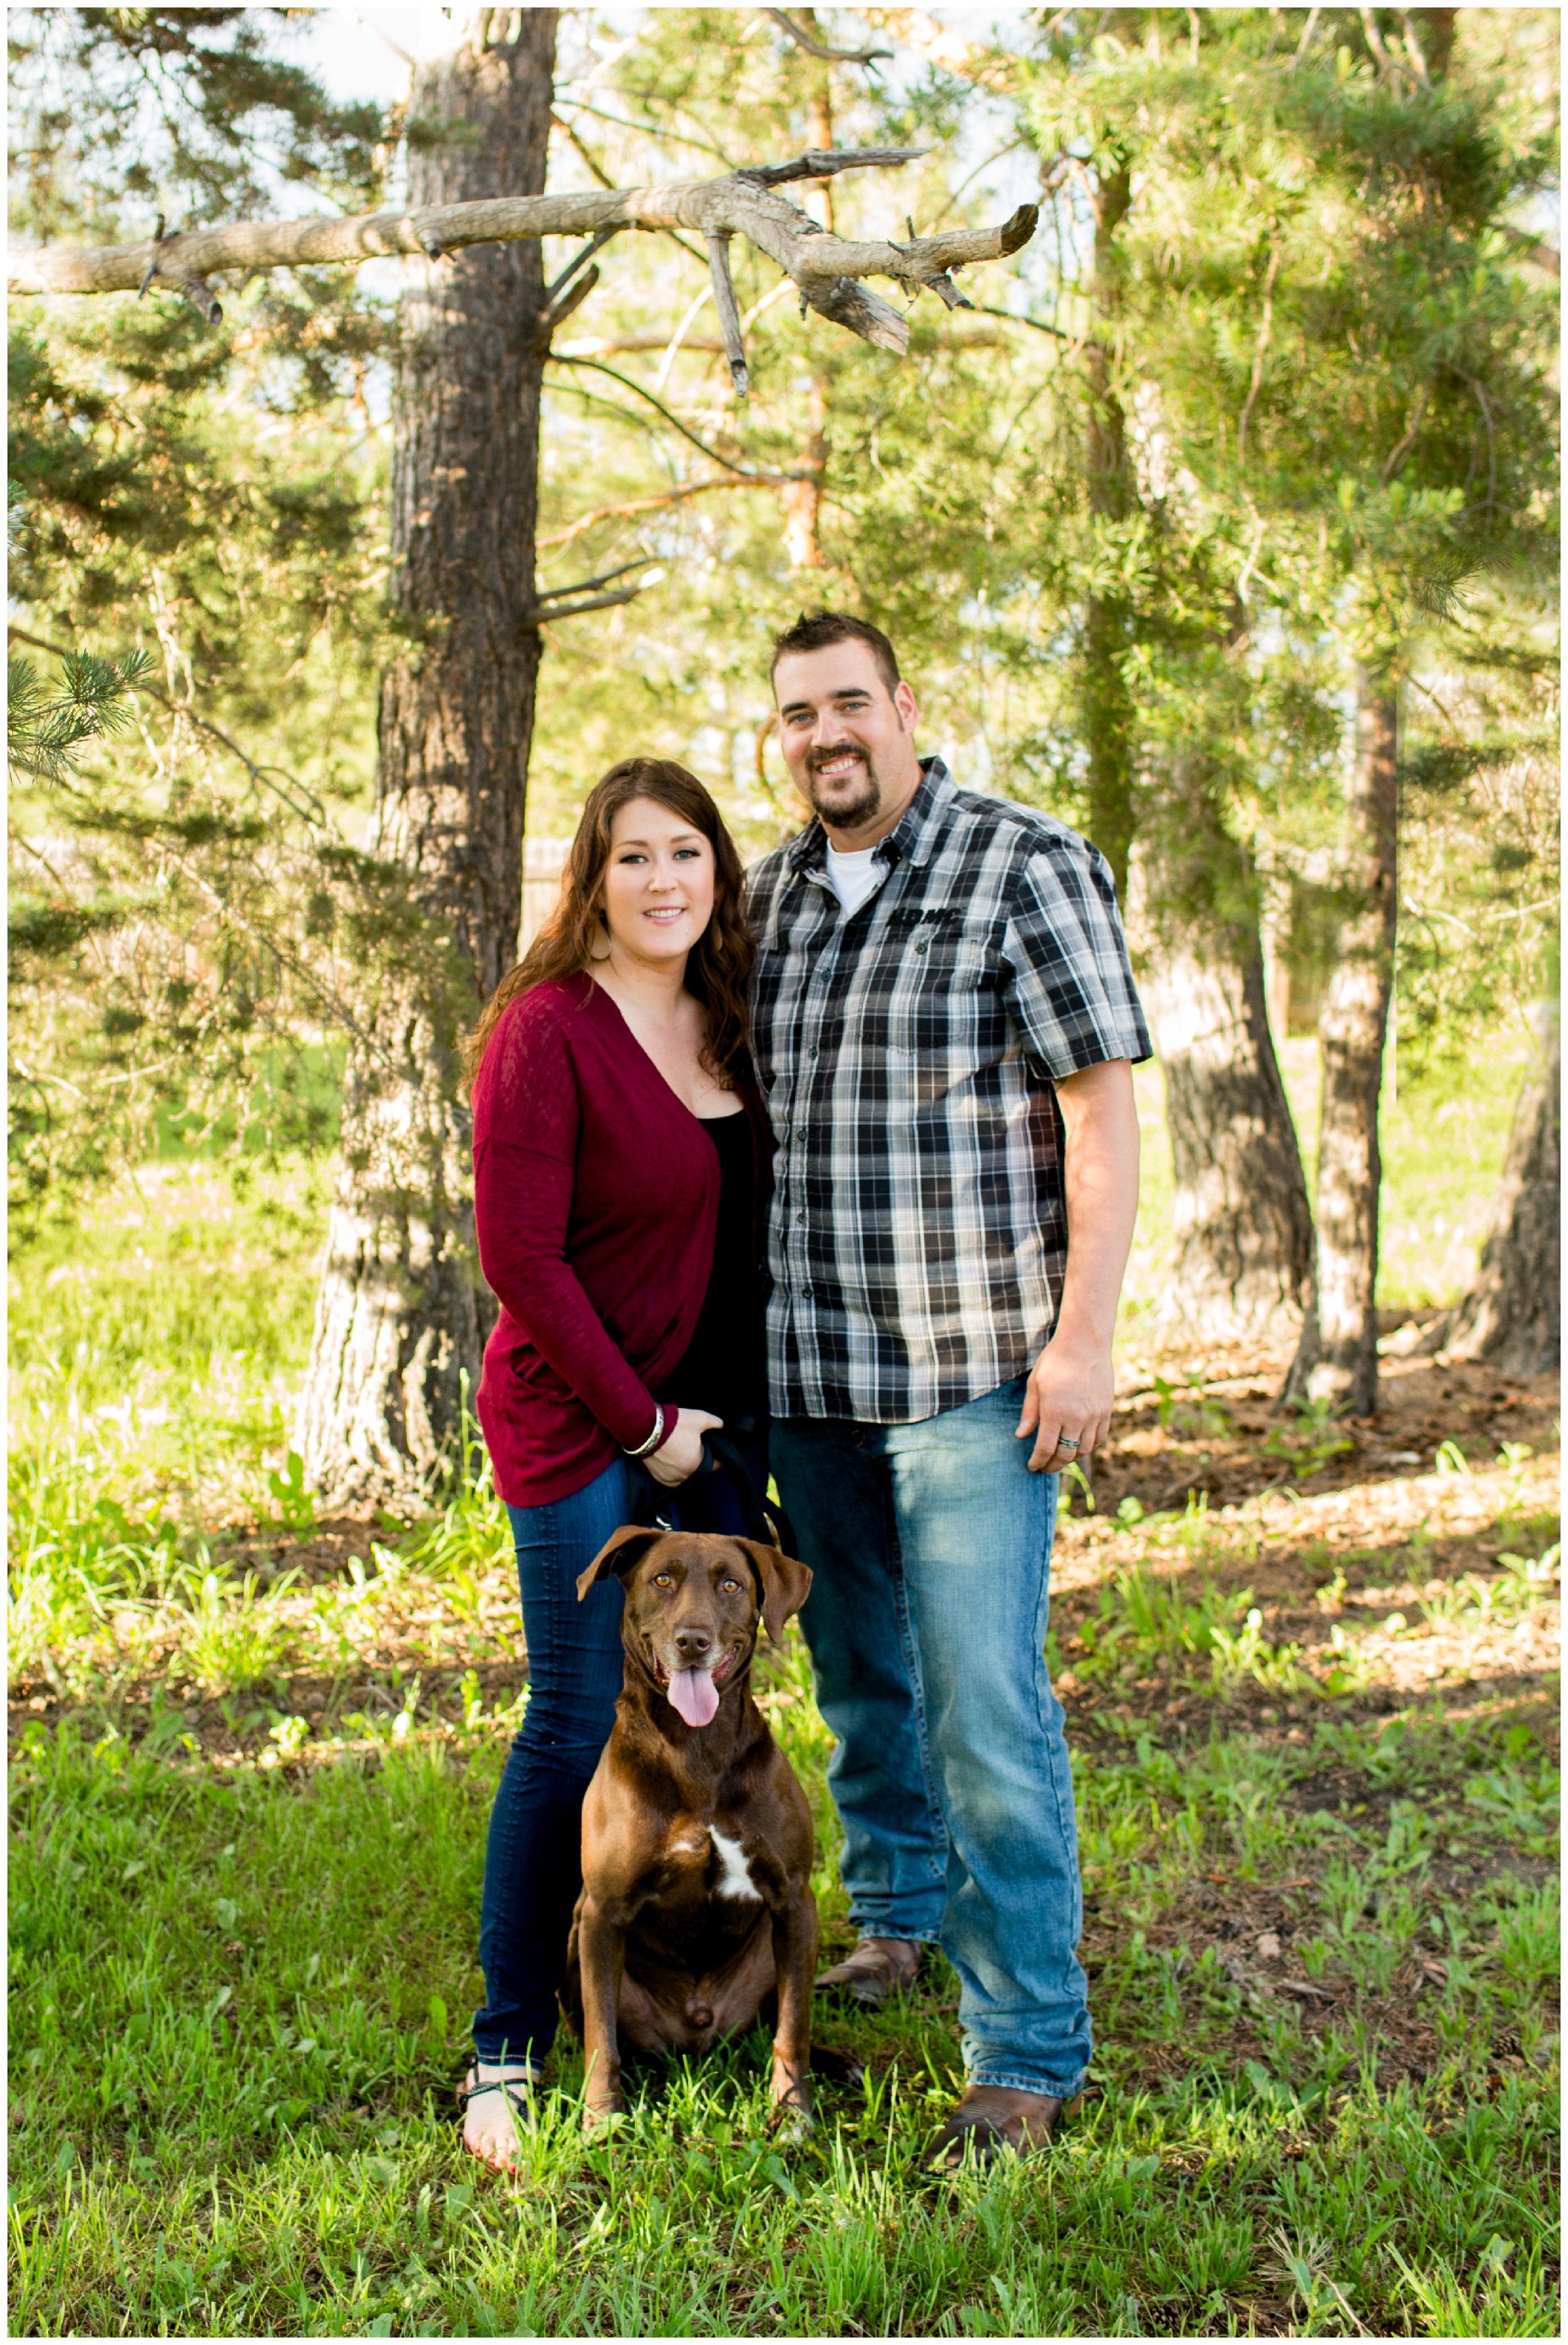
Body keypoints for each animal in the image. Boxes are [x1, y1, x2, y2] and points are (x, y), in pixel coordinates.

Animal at [555, 1529, 815, 2139]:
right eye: (662, 1579)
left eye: (731, 1585)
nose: (692, 1641)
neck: (697, 1751)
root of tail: (695, 2028)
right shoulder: (602, 1913)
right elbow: (601, 2037)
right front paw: (602, 2117)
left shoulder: (795, 1900)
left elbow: (793, 2027)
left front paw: (791, 2111)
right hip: (575, 1944)